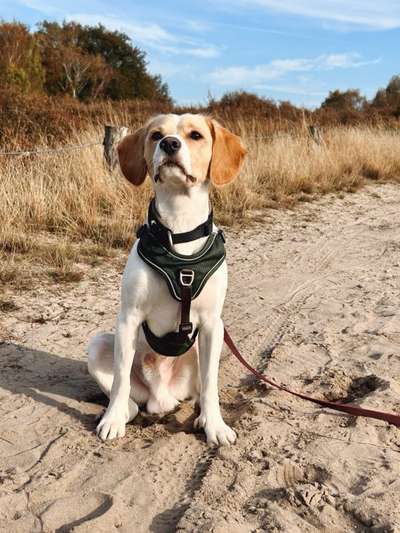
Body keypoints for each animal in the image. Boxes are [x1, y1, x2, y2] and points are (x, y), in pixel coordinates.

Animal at [87, 113, 247, 444]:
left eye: (195, 135)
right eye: (156, 135)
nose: (170, 144)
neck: (179, 224)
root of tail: (162, 396)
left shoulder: (212, 324)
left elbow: (211, 385)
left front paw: (215, 426)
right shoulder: (128, 319)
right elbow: (120, 380)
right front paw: (111, 420)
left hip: (207, 346)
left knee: (202, 391)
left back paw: (202, 417)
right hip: (99, 344)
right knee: (130, 400)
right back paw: (119, 412)